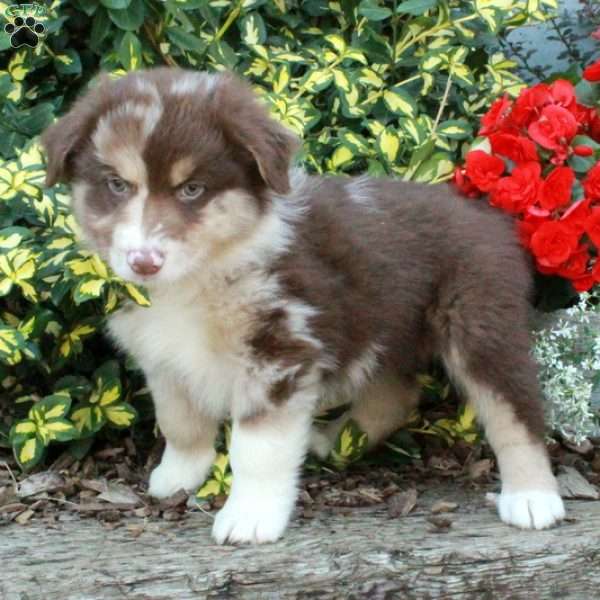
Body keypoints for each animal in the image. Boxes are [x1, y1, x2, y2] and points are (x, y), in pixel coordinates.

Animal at [41, 67, 564, 544]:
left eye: (192, 189)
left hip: (479, 323)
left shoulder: (279, 352)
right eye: (116, 185)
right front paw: (178, 477)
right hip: (381, 326)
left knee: (515, 408)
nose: (144, 262)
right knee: (394, 398)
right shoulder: (164, 356)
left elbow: (256, 448)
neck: (204, 274)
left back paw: (533, 498)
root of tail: (488, 216)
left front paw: (249, 518)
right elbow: (179, 423)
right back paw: (328, 439)